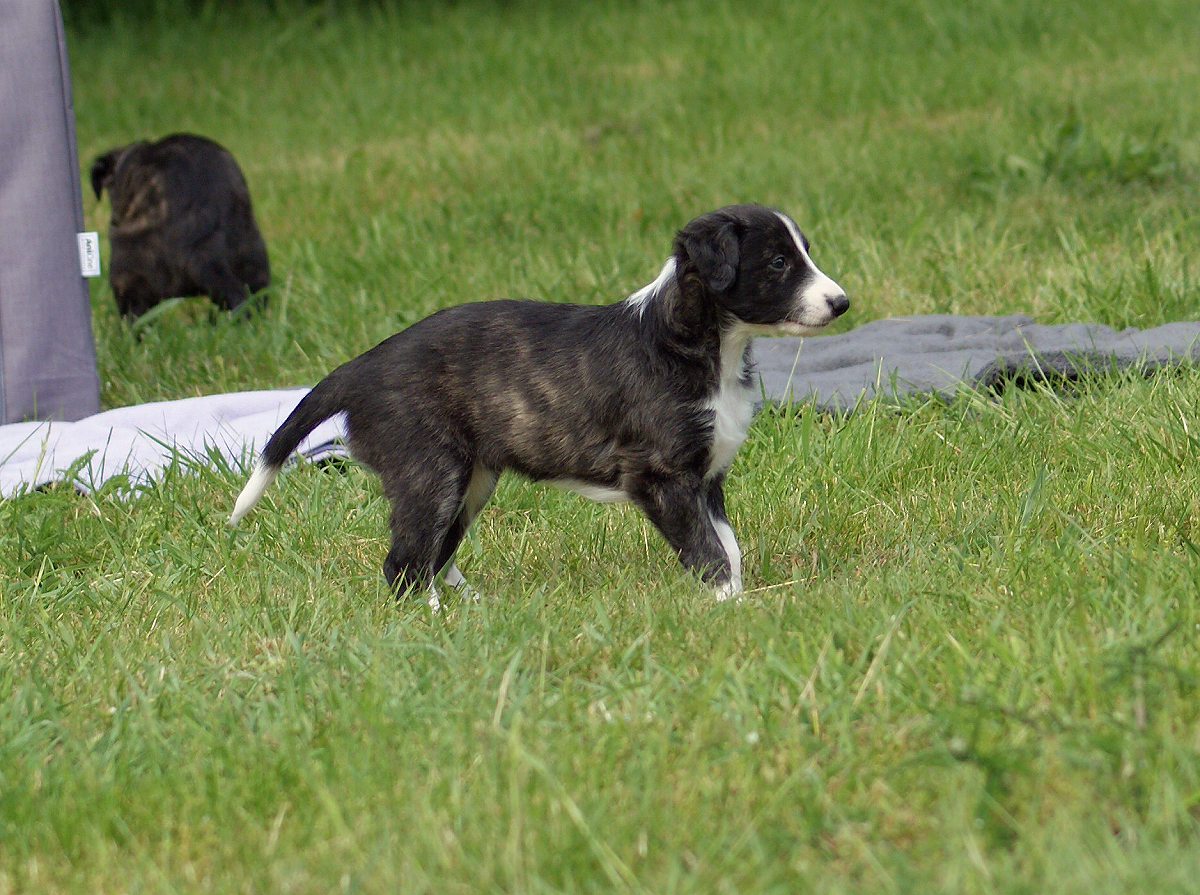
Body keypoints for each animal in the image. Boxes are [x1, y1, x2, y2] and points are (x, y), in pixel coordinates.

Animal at [229, 202, 849, 607]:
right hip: (431, 473)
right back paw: (431, 624)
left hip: (472, 480)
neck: (706, 345)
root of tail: (360, 367)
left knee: (434, 554)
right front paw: (726, 607)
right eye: (777, 263)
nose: (842, 302)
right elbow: (709, 552)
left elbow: (729, 546)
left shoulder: (706, 476)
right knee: (403, 564)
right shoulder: (661, 476)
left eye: (804, 254)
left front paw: (742, 606)